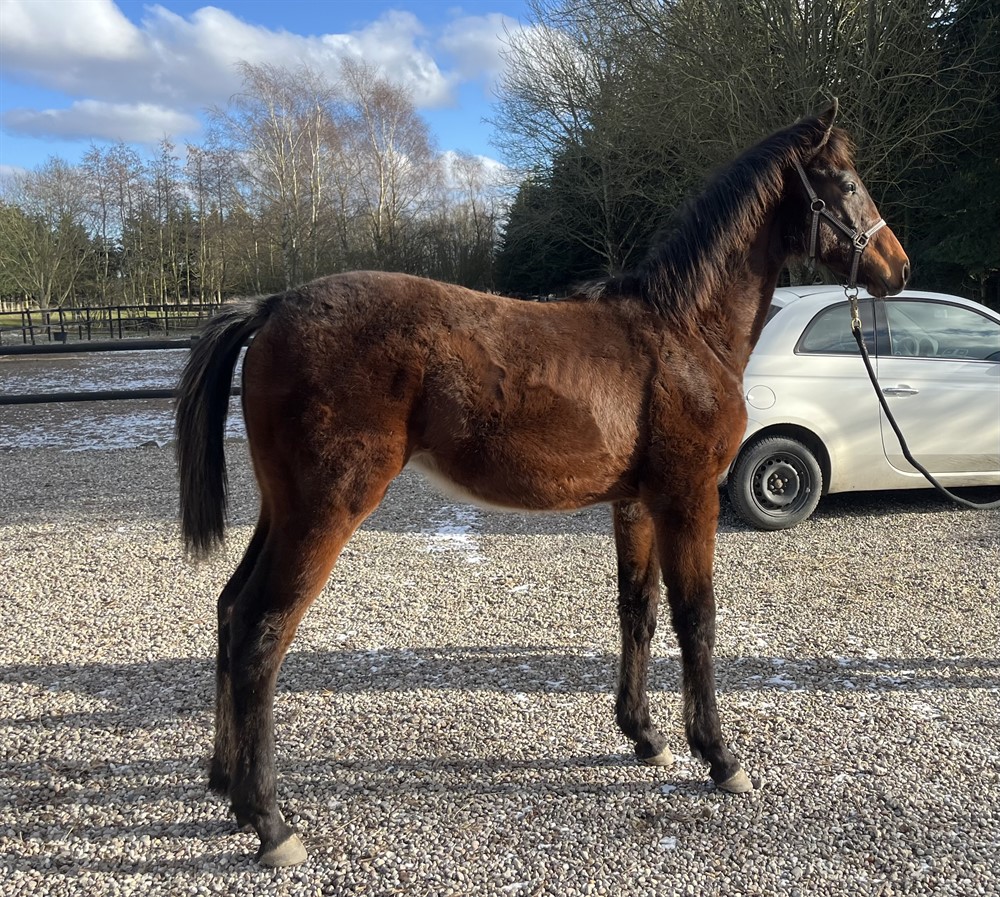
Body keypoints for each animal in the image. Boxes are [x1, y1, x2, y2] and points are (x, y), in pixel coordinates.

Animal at [175, 100, 909, 866]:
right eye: (845, 182)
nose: (897, 265)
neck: (684, 331)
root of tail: (272, 306)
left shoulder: (636, 506)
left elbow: (638, 610)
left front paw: (644, 736)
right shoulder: (688, 499)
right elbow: (696, 618)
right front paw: (719, 755)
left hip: (282, 510)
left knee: (230, 609)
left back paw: (228, 785)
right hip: (324, 511)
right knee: (262, 631)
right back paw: (270, 820)